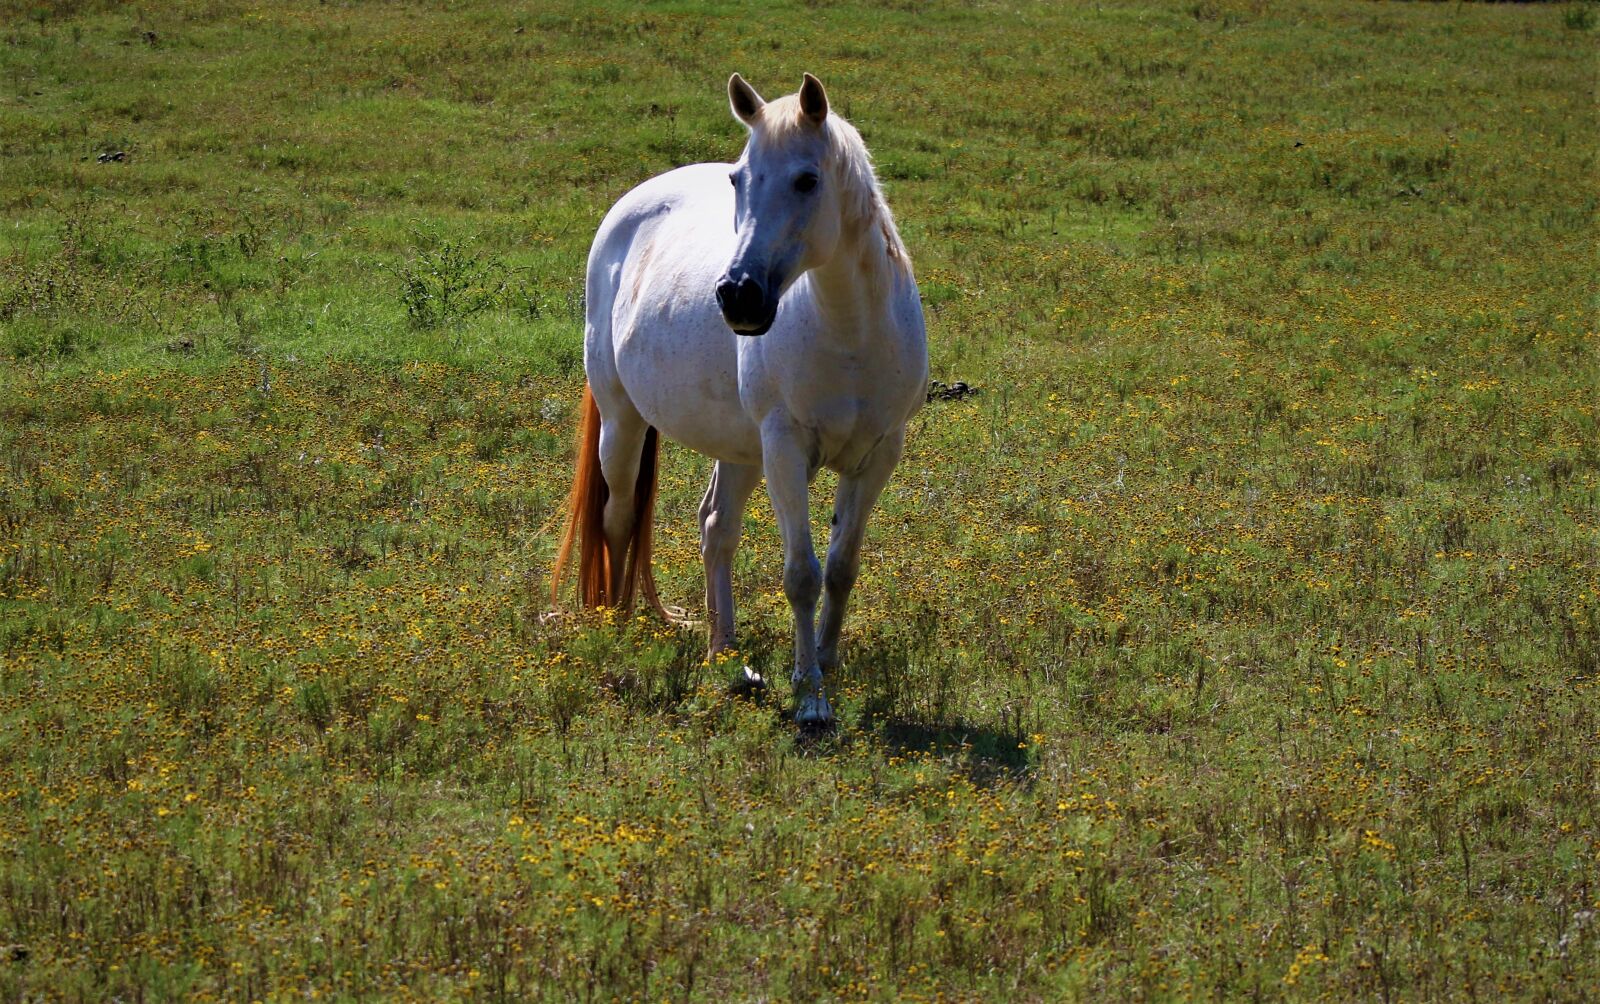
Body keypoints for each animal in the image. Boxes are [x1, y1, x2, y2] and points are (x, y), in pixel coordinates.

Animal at [551, 73, 927, 726]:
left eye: (807, 180)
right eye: (738, 179)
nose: (737, 295)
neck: (851, 334)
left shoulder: (878, 455)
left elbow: (841, 568)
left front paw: (825, 663)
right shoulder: (785, 451)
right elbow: (801, 575)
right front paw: (810, 699)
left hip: (740, 451)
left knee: (715, 528)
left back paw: (723, 649)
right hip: (624, 423)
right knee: (618, 515)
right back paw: (620, 623)